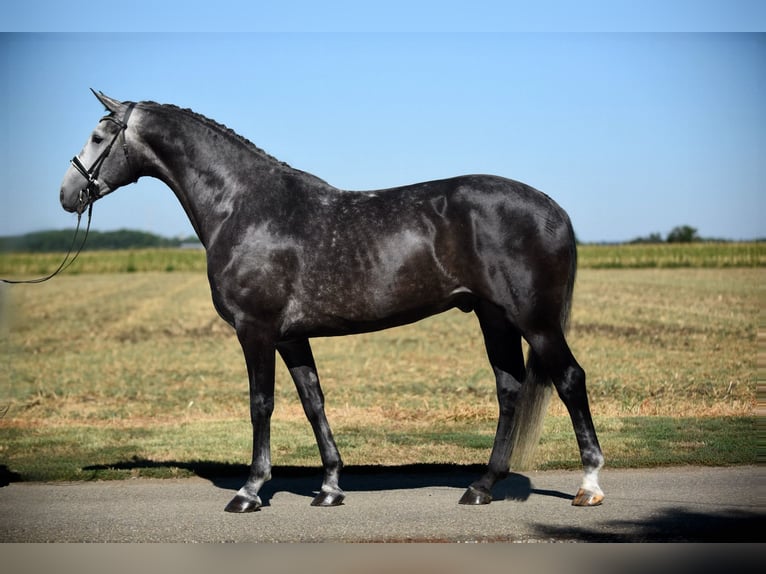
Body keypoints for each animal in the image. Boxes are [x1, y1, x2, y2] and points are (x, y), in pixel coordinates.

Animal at [58, 92, 608, 516]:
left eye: (99, 136)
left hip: (535, 321)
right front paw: (329, 488)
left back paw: (589, 485)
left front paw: (249, 491)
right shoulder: (291, 336)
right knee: (510, 389)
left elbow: (261, 405)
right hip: (495, 318)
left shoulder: (255, 331)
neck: (244, 207)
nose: (68, 193)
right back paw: (482, 486)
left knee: (569, 379)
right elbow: (313, 401)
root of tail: (553, 208)